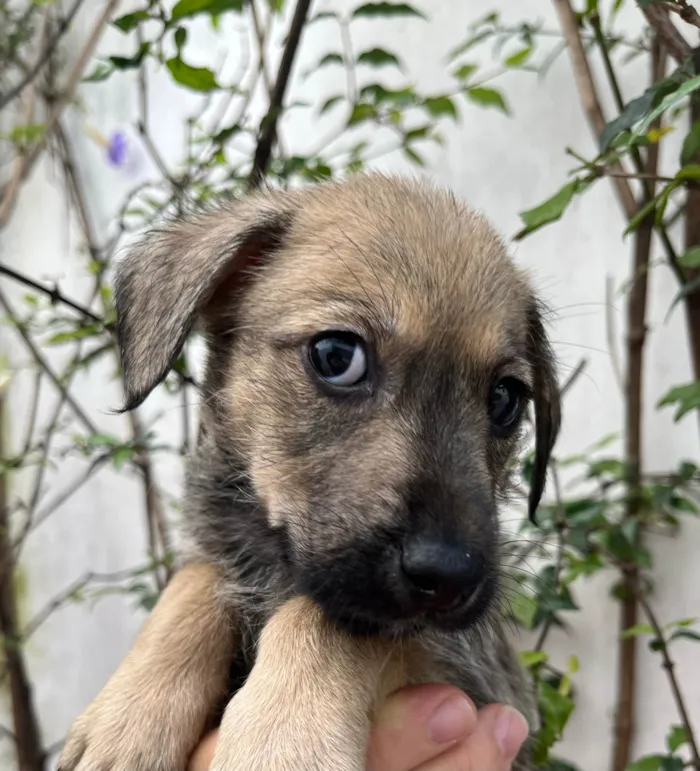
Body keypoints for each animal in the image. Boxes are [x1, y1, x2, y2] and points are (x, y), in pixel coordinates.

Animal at [57, 175, 560, 771]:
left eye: (506, 399)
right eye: (337, 355)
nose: (449, 578)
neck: (275, 563)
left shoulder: (467, 669)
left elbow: (323, 618)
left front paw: (283, 738)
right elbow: (196, 579)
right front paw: (129, 715)